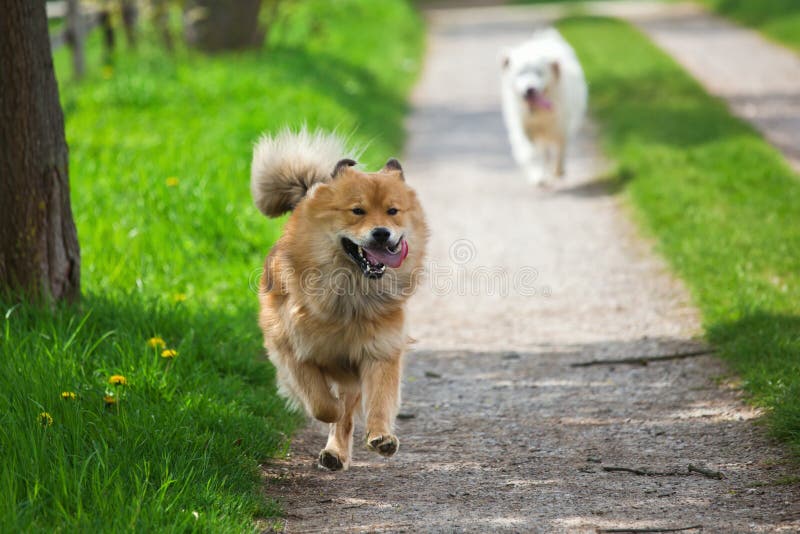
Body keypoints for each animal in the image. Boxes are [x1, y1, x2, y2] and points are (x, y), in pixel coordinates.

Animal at [250, 130, 428, 474]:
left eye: (393, 211)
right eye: (357, 211)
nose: (382, 233)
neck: (351, 296)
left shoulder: (380, 351)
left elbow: (379, 400)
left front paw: (381, 436)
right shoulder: (292, 350)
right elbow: (320, 402)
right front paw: (328, 409)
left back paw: (337, 451)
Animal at [500, 28, 588, 186]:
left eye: (539, 73)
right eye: (521, 73)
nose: (530, 89)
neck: (537, 113)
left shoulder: (560, 128)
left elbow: (561, 148)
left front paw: (559, 171)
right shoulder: (523, 130)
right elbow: (530, 154)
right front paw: (538, 176)